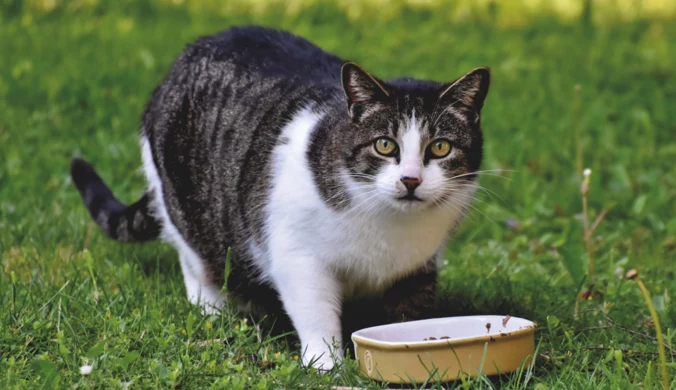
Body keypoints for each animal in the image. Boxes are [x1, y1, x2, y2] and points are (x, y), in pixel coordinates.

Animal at [70, 25, 492, 370]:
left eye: (440, 147)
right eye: (385, 145)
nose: (410, 180)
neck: (390, 227)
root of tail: (183, 58)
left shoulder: (418, 266)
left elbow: (409, 315)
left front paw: (412, 348)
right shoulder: (298, 255)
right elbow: (315, 311)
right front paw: (327, 363)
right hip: (184, 205)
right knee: (195, 261)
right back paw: (215, 308)